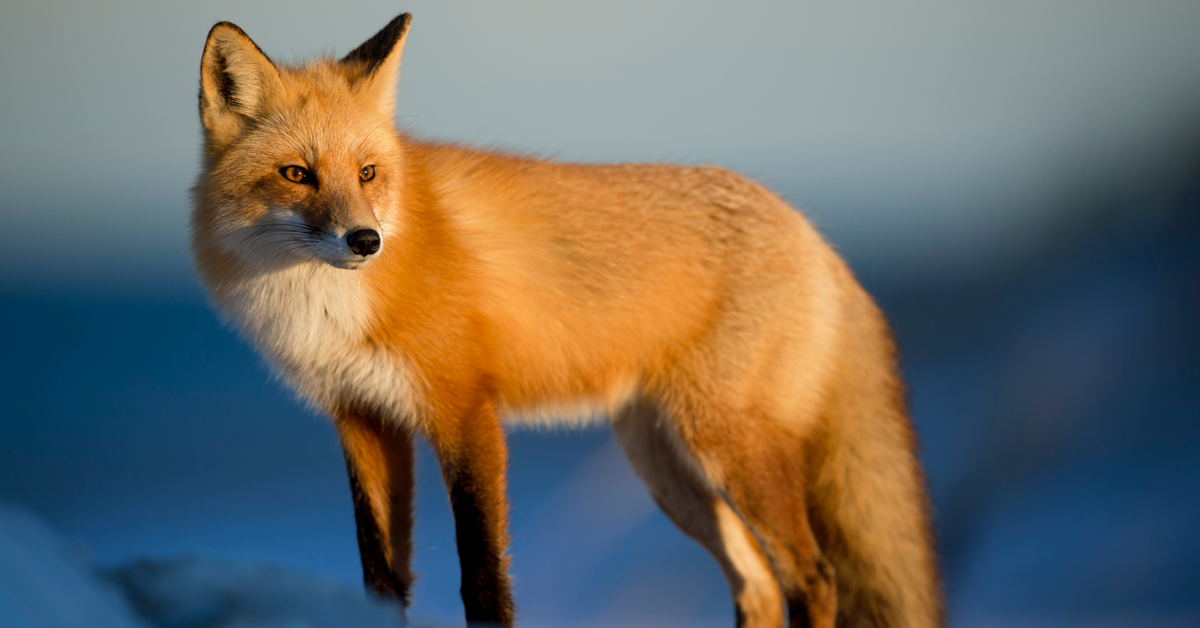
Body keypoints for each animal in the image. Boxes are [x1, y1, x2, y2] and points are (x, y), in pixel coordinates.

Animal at [192, 12, 941, 628]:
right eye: (297, 174)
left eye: (369, 173)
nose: (365, 241)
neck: (327, 307)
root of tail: (814, 234)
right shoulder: (362, 419)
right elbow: (381, 578)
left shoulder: (465, 412)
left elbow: (483, 580)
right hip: (668, 469)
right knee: (757, 584)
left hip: (728, 447)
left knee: (812, 578)